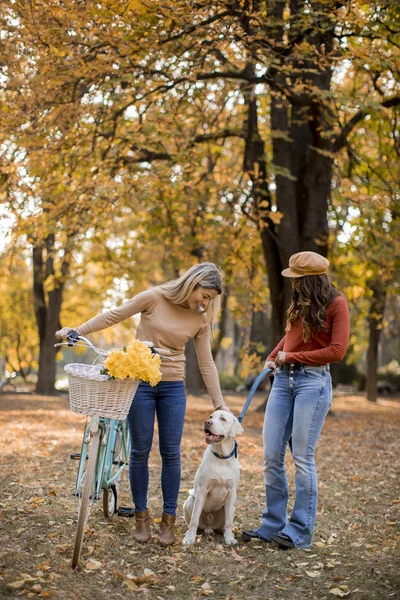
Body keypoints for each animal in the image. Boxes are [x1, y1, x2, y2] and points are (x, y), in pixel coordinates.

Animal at [182, 410, 244, 548]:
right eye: (211, 417)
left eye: (223, 419)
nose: (207, 422)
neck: (222, 458)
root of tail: (209, 527)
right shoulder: (202, 490)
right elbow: (194, 519)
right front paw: (189, 538)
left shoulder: (232, 492)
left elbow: (229, 521)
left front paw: (229, 538)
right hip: (190, 502)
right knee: (193, 521)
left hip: (230, 507)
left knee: (226, 522)